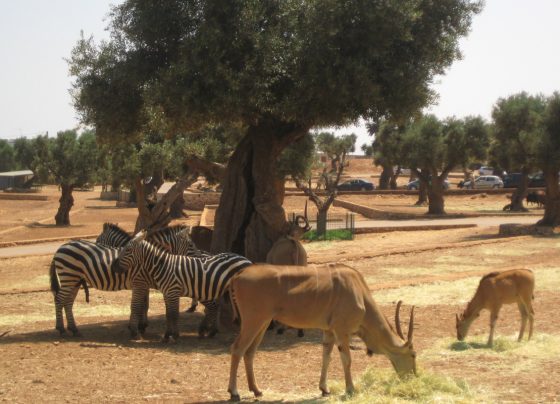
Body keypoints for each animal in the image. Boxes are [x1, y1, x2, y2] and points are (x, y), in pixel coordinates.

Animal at [114, 232, 252, 342]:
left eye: (127, 250)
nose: (115, 266)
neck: (163, 266)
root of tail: (247, 260)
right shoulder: (167, 293)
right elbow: (169, 314)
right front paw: (167, 336)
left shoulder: (173, 291)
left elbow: (174, 314)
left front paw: (174, 336)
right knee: (215, 307)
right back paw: (209, 331)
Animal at [226, 262, 416, 400]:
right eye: (413, 355)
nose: (414, 376)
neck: (359, 292)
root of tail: (238, 275)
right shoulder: (341, 330)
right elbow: (346, 360)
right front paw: (350, 389)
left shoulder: (329, 331)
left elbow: (327, 357)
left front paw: (324, 389)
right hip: (253, 321)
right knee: (237, 348)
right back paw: (234, 392)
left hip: (262, 323)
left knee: (249, 352)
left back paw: (256, 390)